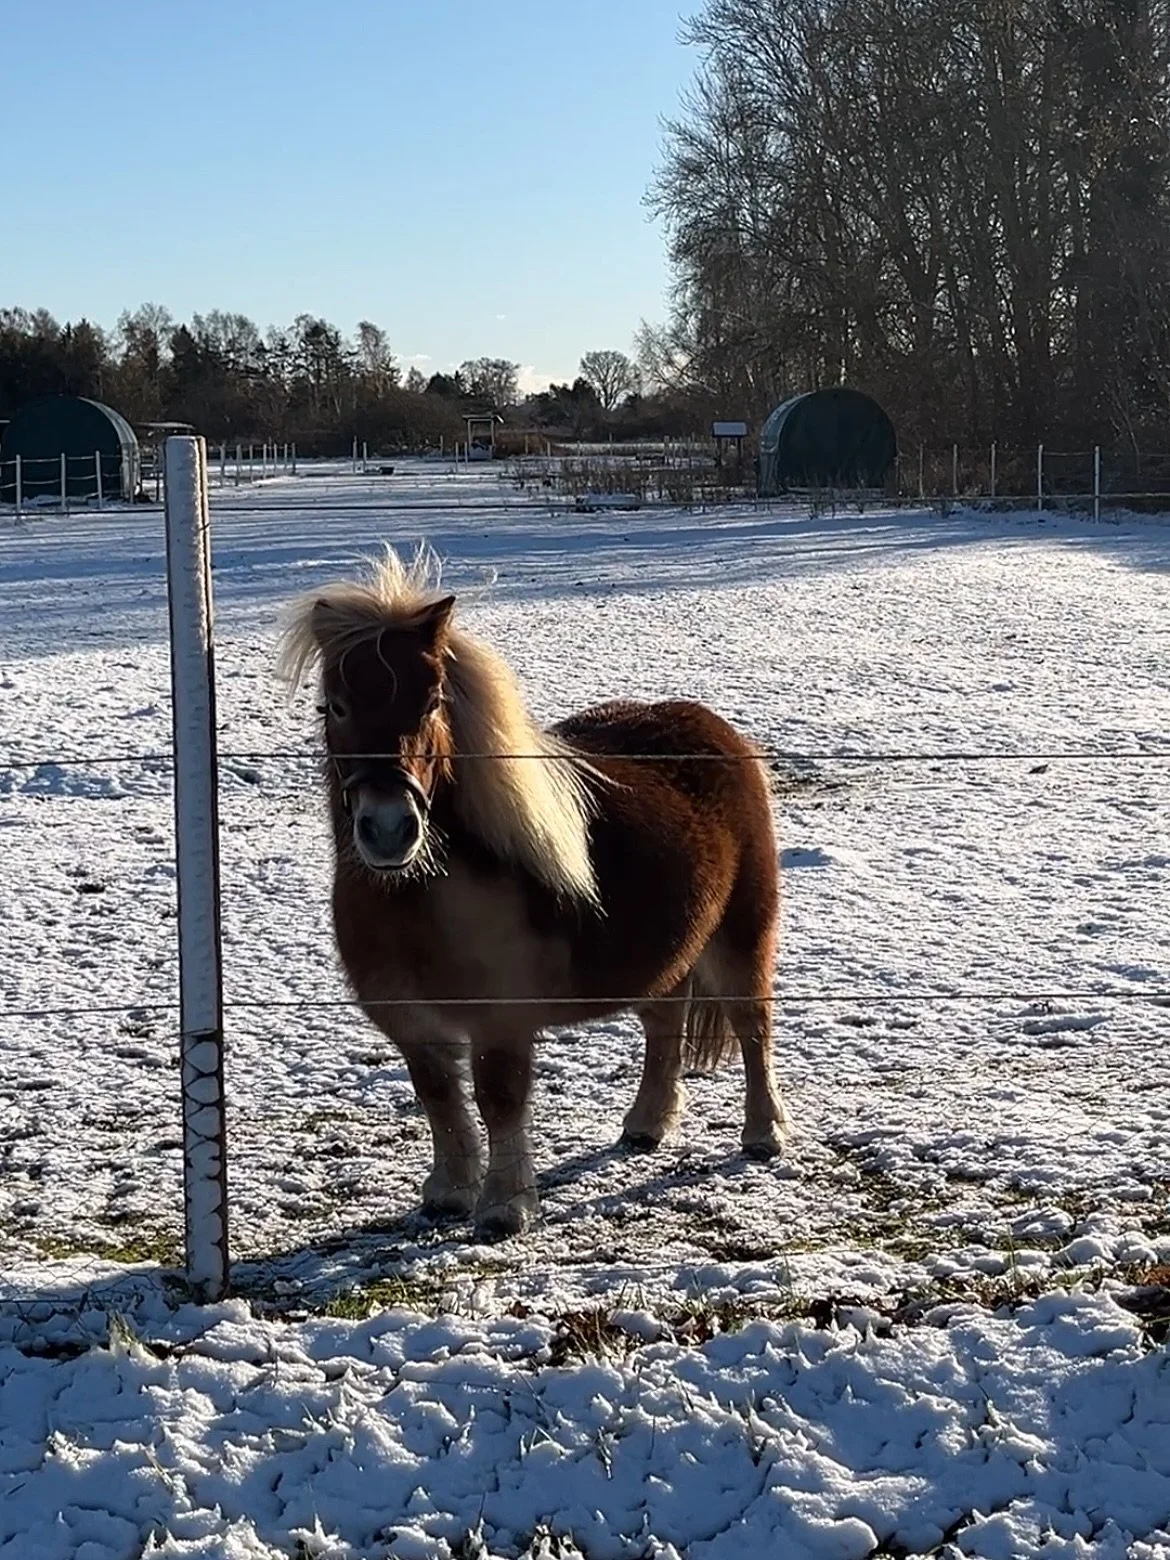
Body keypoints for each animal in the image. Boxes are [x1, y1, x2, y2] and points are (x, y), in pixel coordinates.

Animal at [278, 546, 788, 1237]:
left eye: (432, 702)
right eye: (332, 707)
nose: (388, 829)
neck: (419, 904)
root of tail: (715, 729)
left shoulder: (501, 1020)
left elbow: (499, 1099)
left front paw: (504, 1206)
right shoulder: (411, 1022)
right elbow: (438, 1097)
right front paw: (448, 1193)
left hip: (741, 934)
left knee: (752, 1023)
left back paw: (763, 1135)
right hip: (663, 955)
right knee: (664, 1023)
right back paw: (646, 1126)